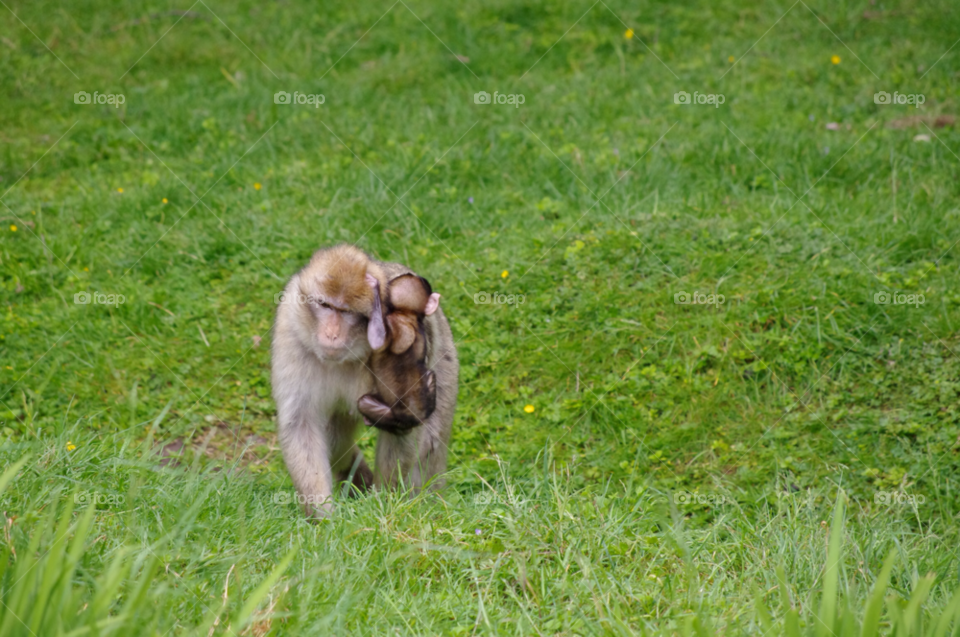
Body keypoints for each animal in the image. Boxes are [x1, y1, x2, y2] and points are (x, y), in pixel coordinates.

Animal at [358, 270, 440, 434]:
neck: (406, 312)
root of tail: (417, 418)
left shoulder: (397, 322)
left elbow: (378, 342)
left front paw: (374, 285)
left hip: (395, 415)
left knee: (363, 402)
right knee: (430, 374)